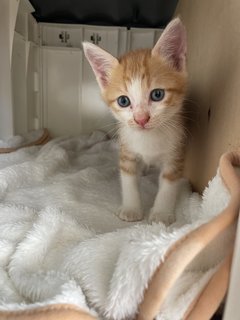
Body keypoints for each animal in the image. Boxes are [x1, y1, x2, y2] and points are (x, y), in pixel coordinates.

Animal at [82, 16, 188, 222]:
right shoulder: (127, 150)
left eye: (157, 94)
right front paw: (131, 209)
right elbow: (129, 179)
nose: (141, 119)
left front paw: (161, 213)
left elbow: (169, 184)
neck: (148, 139)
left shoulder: (176, 151)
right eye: (123, 101)